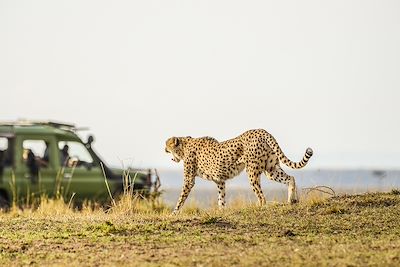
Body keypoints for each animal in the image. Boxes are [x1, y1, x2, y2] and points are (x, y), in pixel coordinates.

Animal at [164, 129, 314, 215]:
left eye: (167, 145)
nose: (164, 149)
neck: (185, 145)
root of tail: (261, 130)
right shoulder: (219, 180)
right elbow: (221, 197)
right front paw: (221, 211)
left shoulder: (189, 179)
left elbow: (181, 197)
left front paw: (174, 213)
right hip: (270, 169)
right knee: (290, 178)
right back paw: (291, 201)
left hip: (252, 172)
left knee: (262, 197)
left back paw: (259, 207)